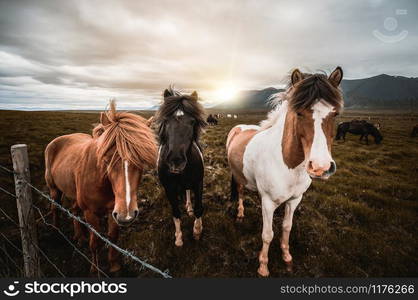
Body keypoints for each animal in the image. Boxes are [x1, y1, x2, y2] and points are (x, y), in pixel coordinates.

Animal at [44, 101, 157, 274]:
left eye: (141, 160)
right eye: (107, 159)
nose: (127, 215)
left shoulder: (113, 211)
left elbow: (113, 237)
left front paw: (115, 266)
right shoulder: (91, 212)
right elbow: (96, 242)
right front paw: (95, 270)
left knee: (74, 211)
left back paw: (80, 237)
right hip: (54, 190)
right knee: (55, 207)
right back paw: (56, 232)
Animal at [154, 86, 207, 246]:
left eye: (192, 122)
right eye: (166, 121)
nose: (175, 160)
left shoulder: (198, 182)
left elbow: (198, 208)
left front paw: (197, 231)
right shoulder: (169, 188)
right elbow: (176, 213)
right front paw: (178, 238)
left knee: (188, 191)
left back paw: (189, 207)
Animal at [227, 67, 344, 276]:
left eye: (335, 113)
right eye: (299, 113)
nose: (320, 167)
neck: (289, 167)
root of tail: (239, 127)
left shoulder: (295, 200)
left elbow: (287, 227)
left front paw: (287, 256)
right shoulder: (267, 203)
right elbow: (267, 235)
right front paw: (263, 266)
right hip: (238, 176)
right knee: (240, 192)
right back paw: (240, 214)